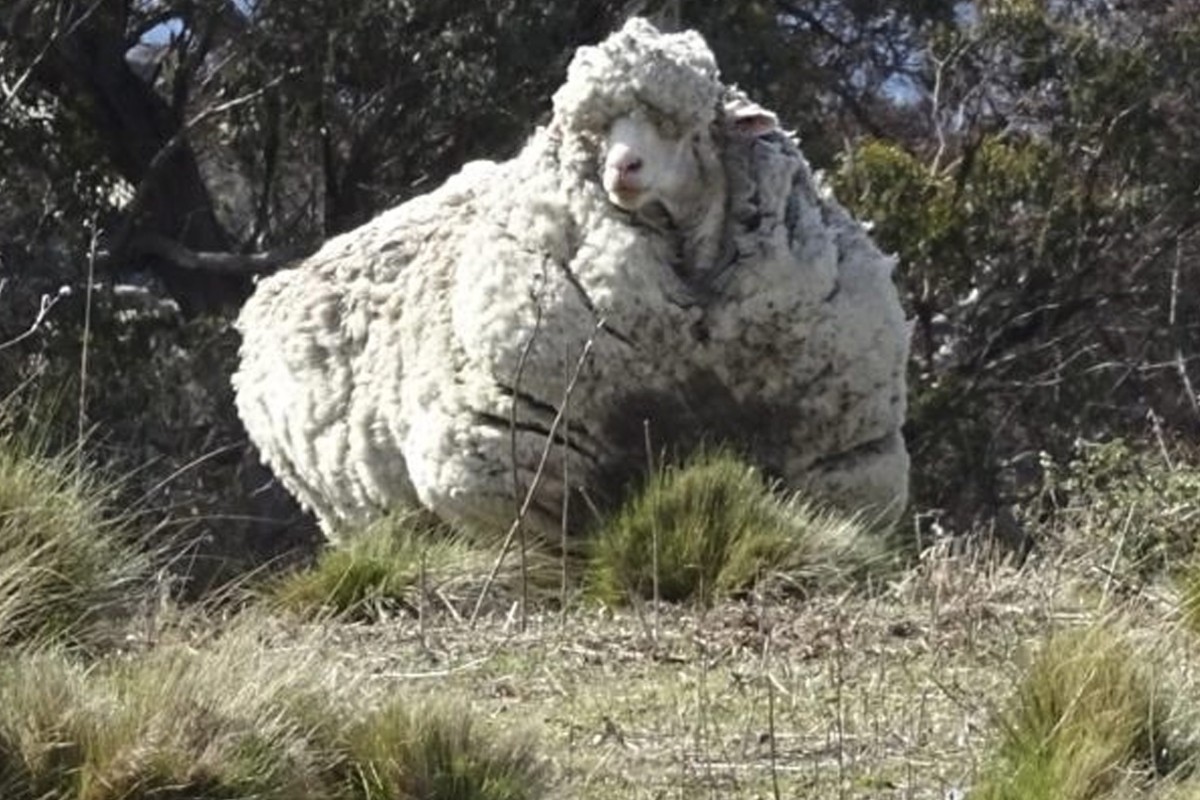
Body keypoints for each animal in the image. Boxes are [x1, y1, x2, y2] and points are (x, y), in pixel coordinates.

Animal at [233, 17, 910, 544]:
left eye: (682, 125)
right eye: (595, 132)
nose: (623, 169)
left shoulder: (839, 456)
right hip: (355, 512)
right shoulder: (518, 463)